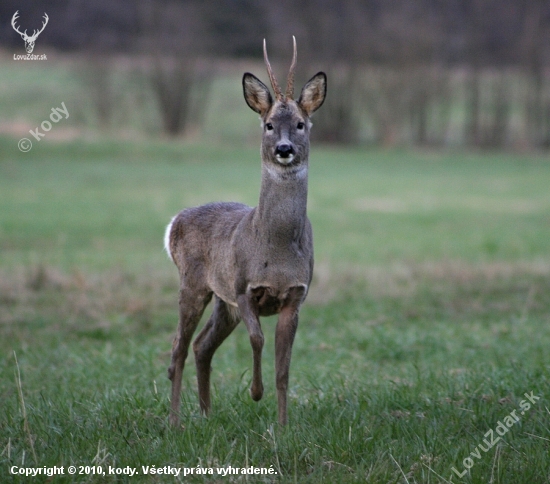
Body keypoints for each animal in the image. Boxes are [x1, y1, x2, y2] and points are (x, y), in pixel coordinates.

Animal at [165, 36, 328, 424]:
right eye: (268, 124)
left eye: (300, 123)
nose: (284, 149)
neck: (277, 249)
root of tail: (175, 222)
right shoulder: (243, 288)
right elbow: (258, 340)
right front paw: (255, 392)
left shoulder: (296, 296)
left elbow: (284, 367)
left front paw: (283, 426)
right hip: (194, 284)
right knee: (178, 347)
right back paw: (175, 421)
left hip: (221, 302)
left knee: (201, 345)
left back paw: (206, 414)